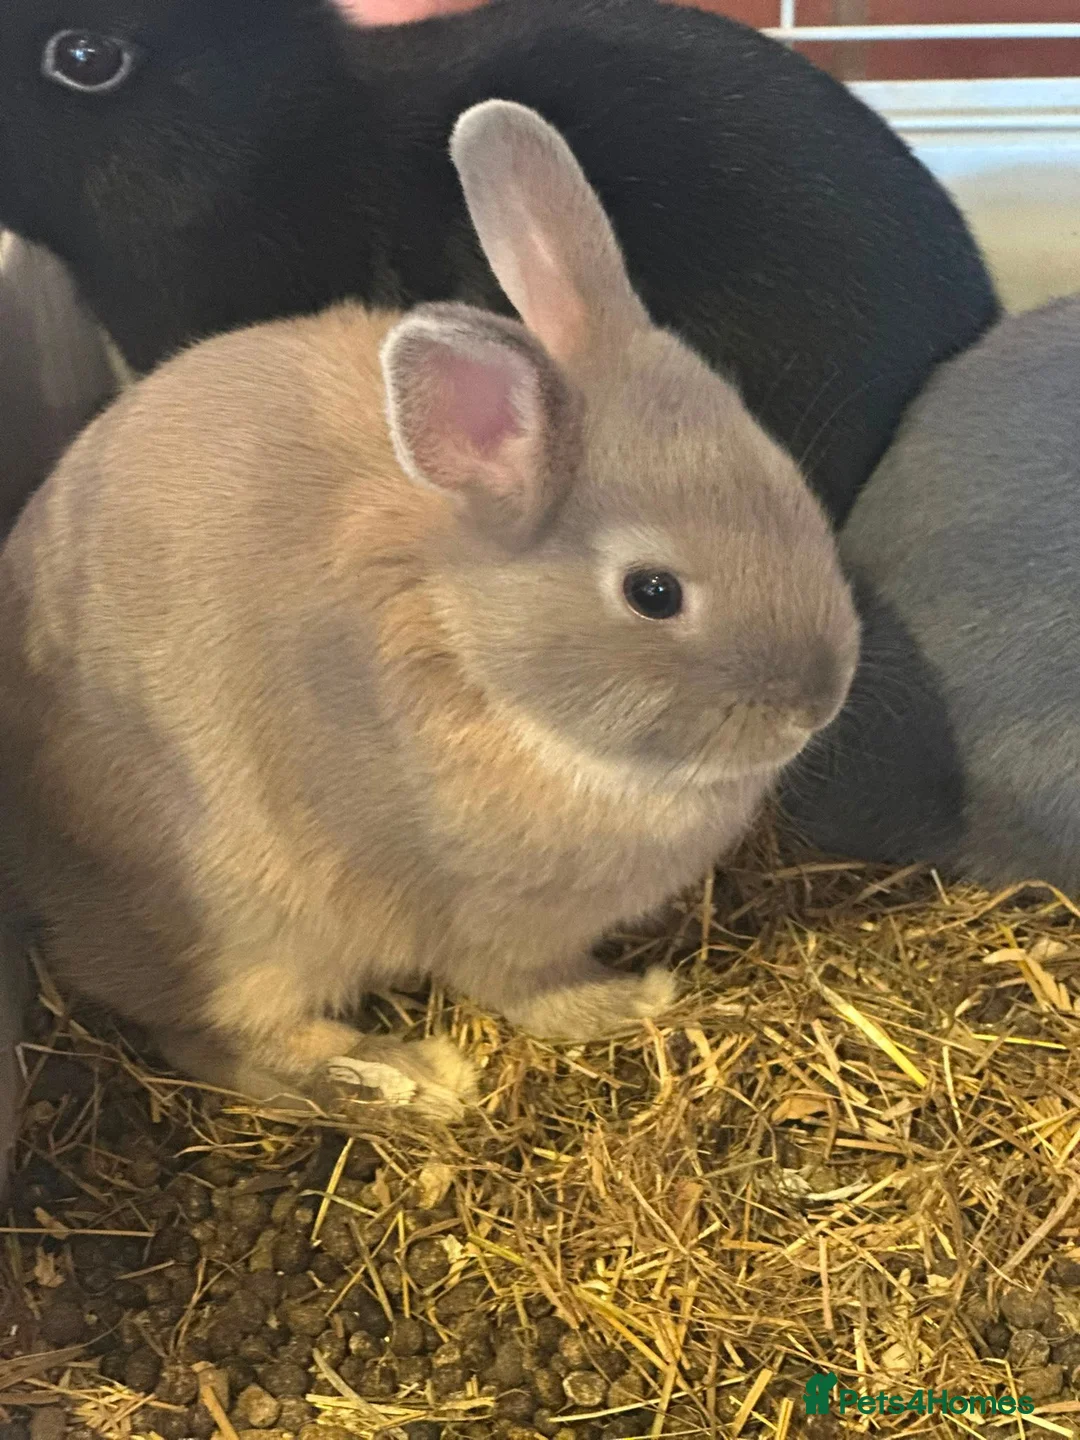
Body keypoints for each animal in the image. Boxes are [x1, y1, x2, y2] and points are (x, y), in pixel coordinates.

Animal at [0, 100, 858, 1114]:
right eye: (654, 592)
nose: (817, 702)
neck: (473, 651)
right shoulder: (491, 926)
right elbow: (531, 992)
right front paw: (637, 999)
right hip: (248, 931)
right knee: (219, 1040)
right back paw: (416, 1078)